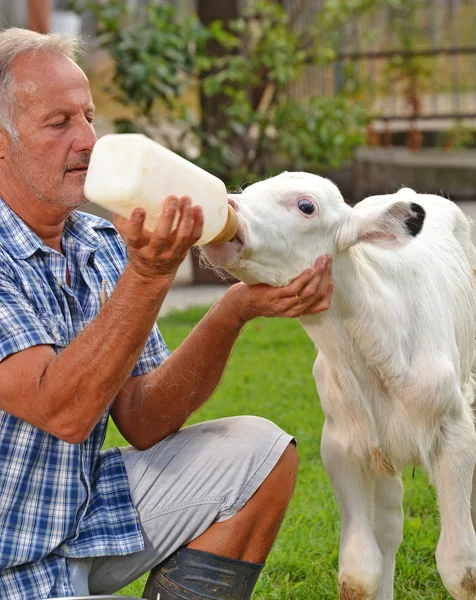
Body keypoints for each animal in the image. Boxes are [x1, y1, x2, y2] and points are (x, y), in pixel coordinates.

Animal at [203, 173, 476, 600]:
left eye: (306, 206)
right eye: (247, 190)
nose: (225, 208)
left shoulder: (456, 436)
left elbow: (460, 568)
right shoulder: (343, 446)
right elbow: (359, 571)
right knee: (389, 530)